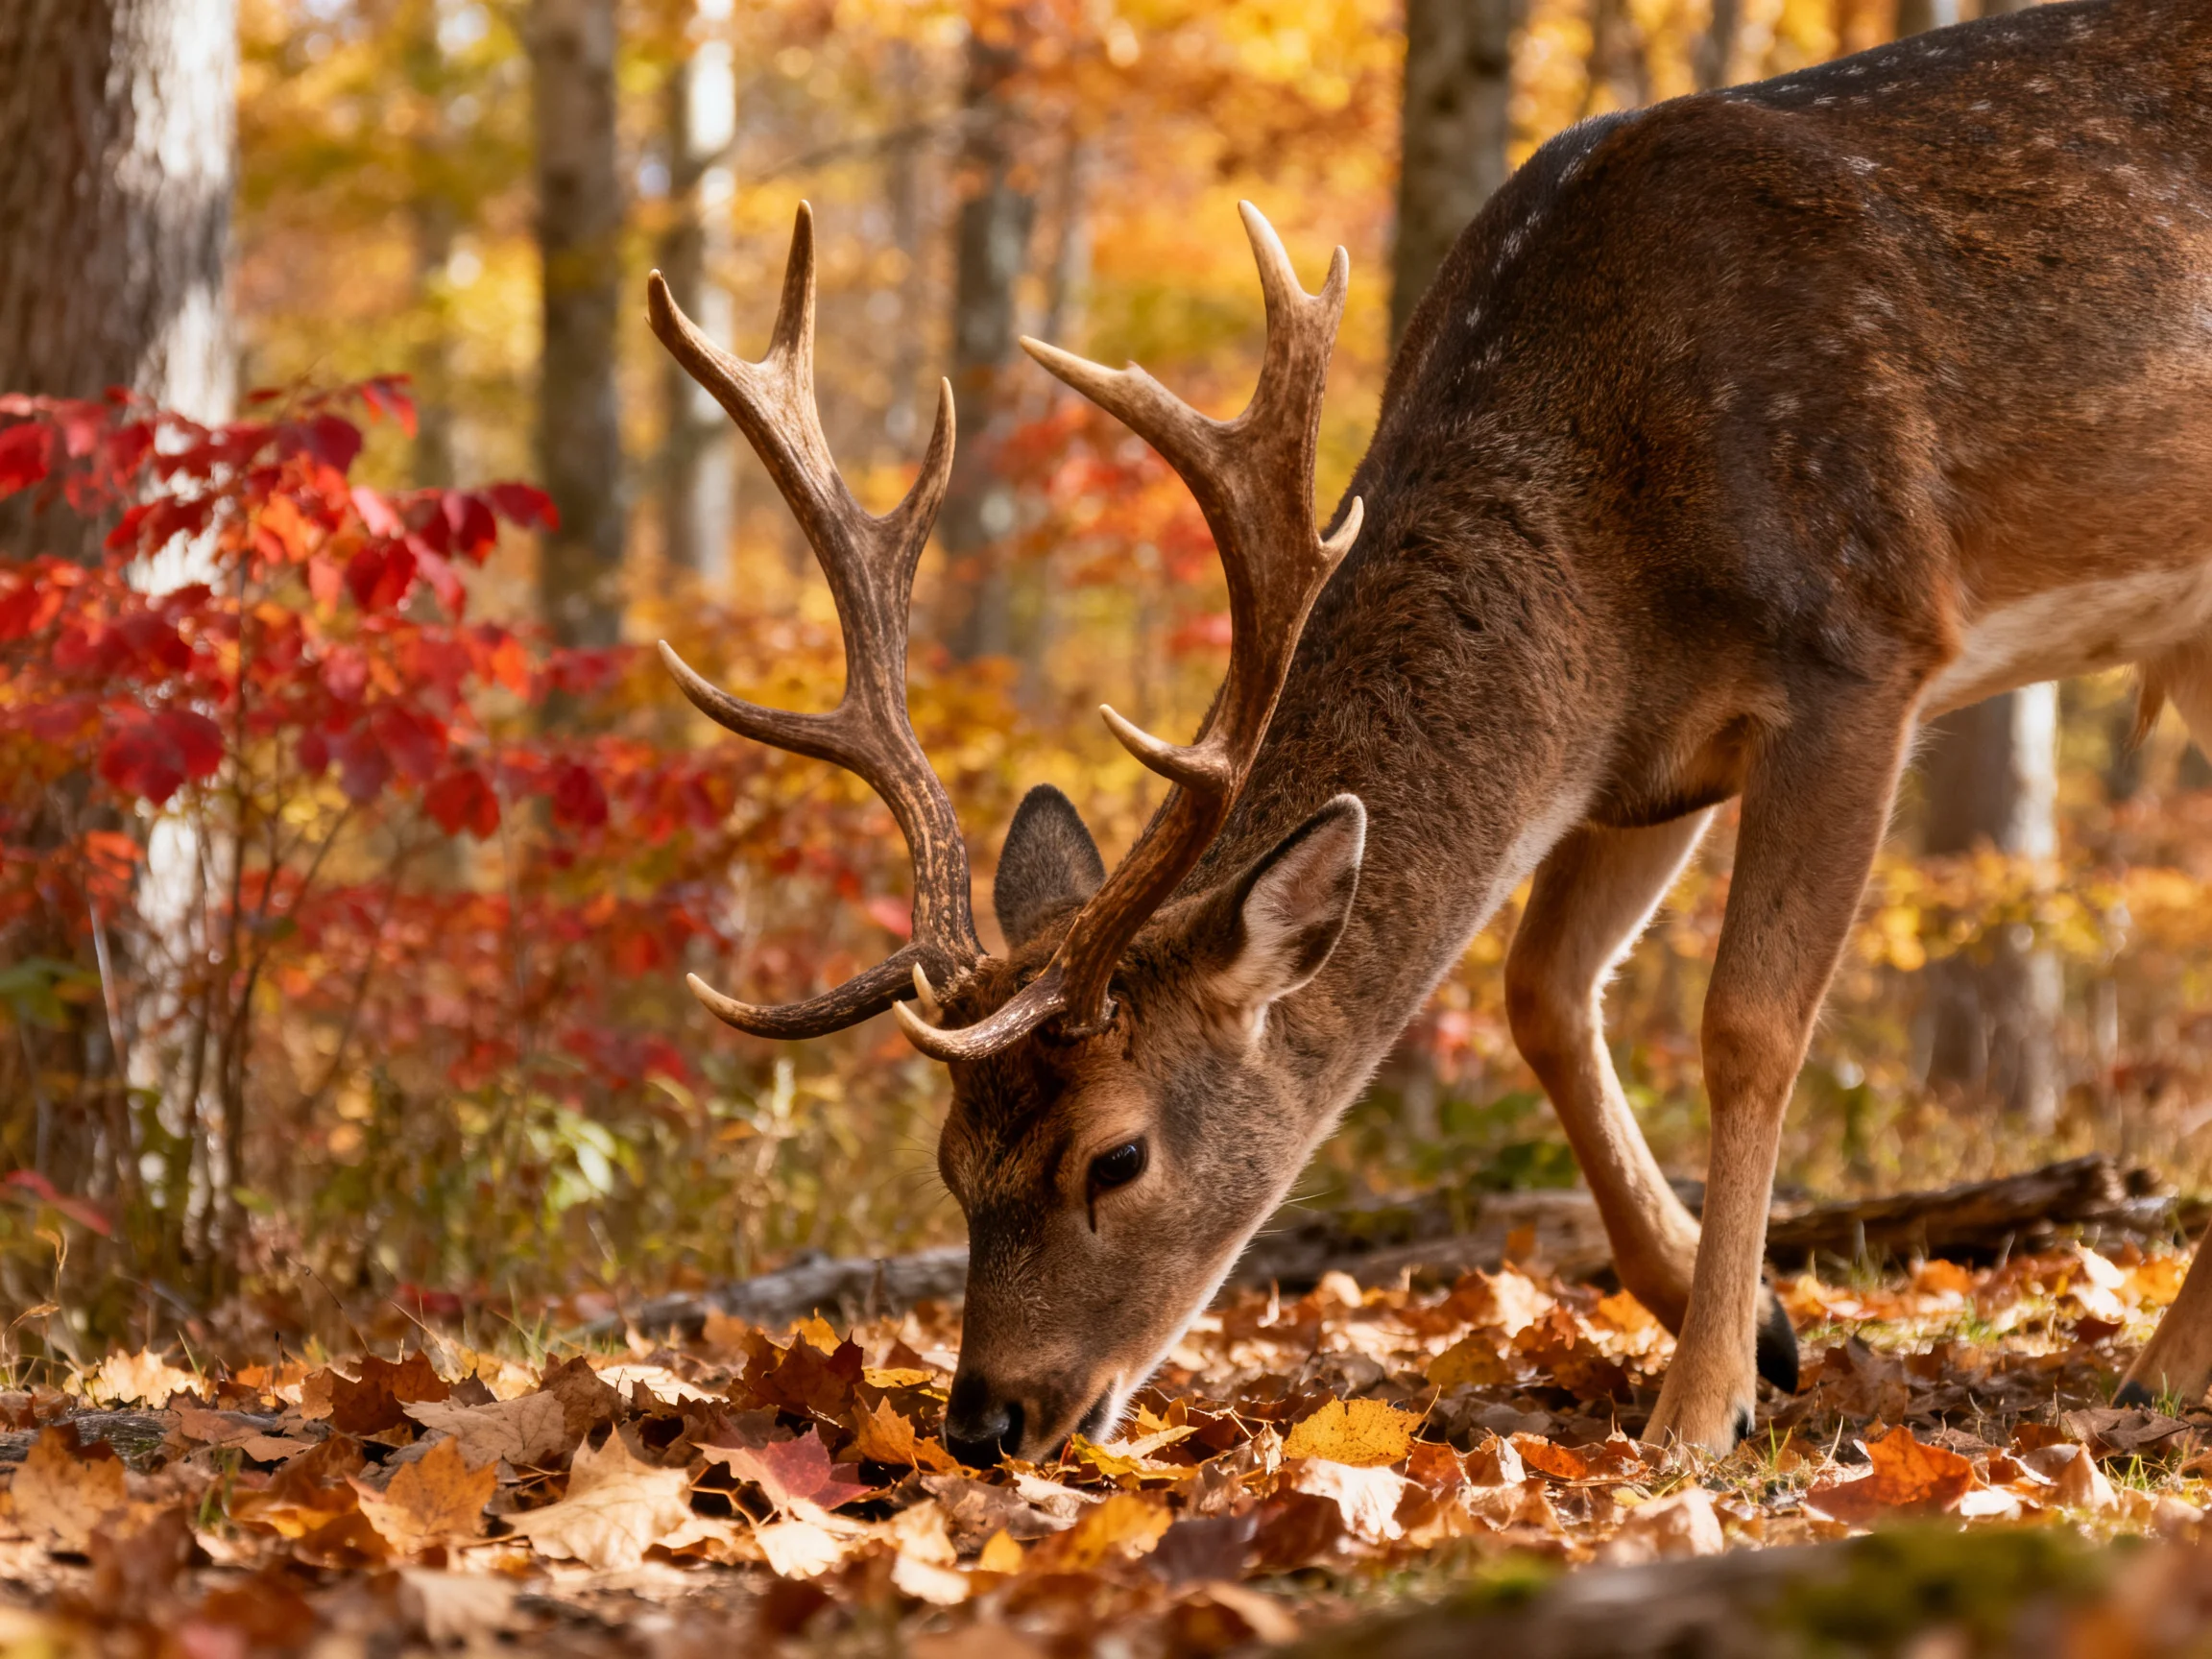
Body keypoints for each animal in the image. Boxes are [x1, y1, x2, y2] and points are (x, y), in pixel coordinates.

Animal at [648, 0, 2212, 1459]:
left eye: (1117, 1157)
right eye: (952, 1162)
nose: (985, 1422)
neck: (1612, 547)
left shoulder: (1861, 646)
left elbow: (1749, 1027)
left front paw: (1698, 1407)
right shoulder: (1646, 763)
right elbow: (1541, 989)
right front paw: (1752, 1326)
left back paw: (2155, 1368)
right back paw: (2164, 1367)